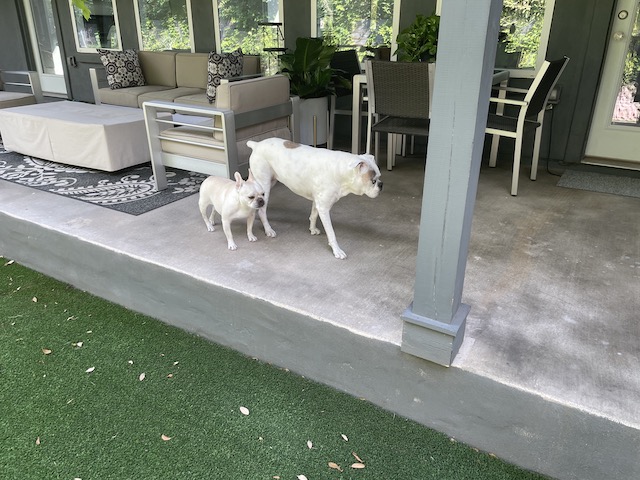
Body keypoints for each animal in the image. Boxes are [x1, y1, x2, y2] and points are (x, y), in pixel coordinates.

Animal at [247, 137, 383, 259]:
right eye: (373, 181)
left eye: (379, 177)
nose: (381, 185)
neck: (340, 171)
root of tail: (257, 144)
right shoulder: (324, 208)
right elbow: (331, 233)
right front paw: (337, 250)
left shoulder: (318, 202)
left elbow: (313, 215)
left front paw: (312, 229)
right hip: (265, 185)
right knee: (262, 210)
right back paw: (268, 229)